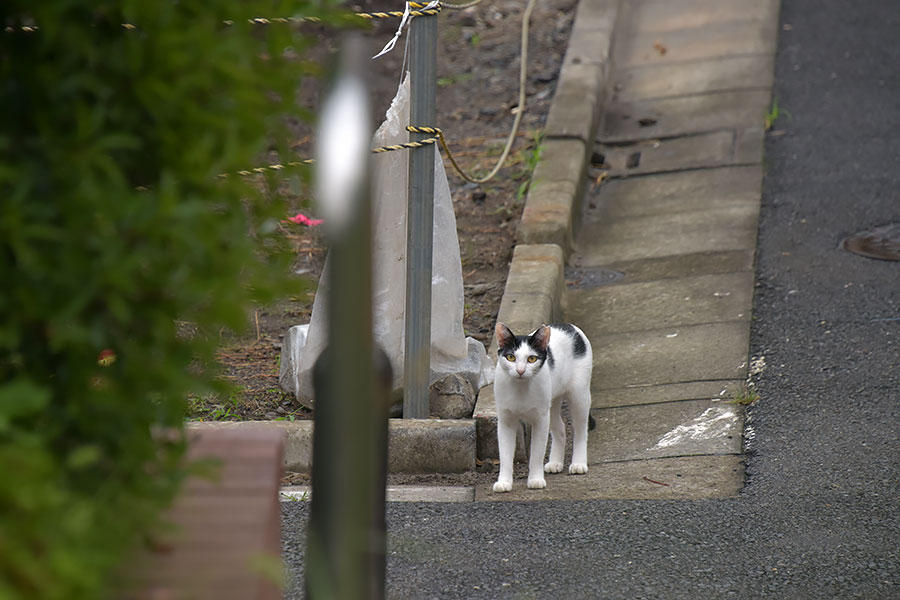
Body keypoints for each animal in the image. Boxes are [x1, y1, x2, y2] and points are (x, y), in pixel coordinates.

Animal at [488, 322, 596, 490]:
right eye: (511, 357)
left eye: (531, 359)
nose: (520, 370)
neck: (521, 388)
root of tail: (568, 325)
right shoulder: (506, 421)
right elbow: (505, 455)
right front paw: (504, 482)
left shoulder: (540, 420)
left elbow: (537, 454)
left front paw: (536, 479)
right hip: (551, 403)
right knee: (560, 428)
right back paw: (555, 462)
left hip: (579, 395)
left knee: (580, 430)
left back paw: (578, 463)